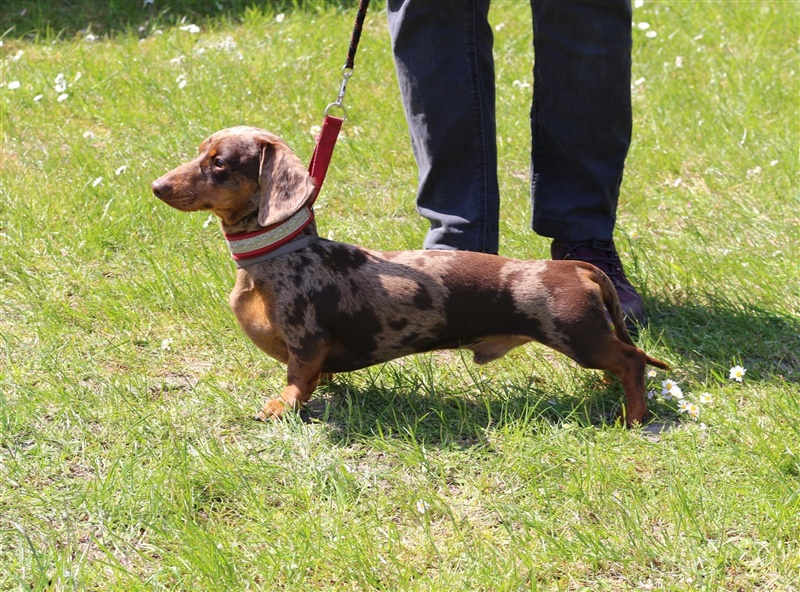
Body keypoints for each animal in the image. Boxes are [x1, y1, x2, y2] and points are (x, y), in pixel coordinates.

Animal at [152, 126, 668, 425]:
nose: (156, 187)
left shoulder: (305, 340)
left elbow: (297, 378)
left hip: (577, 335)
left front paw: (281, 407)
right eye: (200, 152)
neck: (282, 253)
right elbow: (316, 376)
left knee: (632, 360)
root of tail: (576, 265)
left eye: (219, 163)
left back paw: (635, 416)